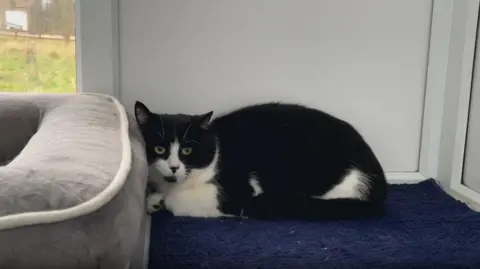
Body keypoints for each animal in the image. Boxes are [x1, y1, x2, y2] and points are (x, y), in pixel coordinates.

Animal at [133, 100, 388, 220]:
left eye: (187, 150)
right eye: (159, 148)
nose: (174, 167)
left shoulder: (238, 190)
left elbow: (180, 201)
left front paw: (163, 201)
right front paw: (155, 199)